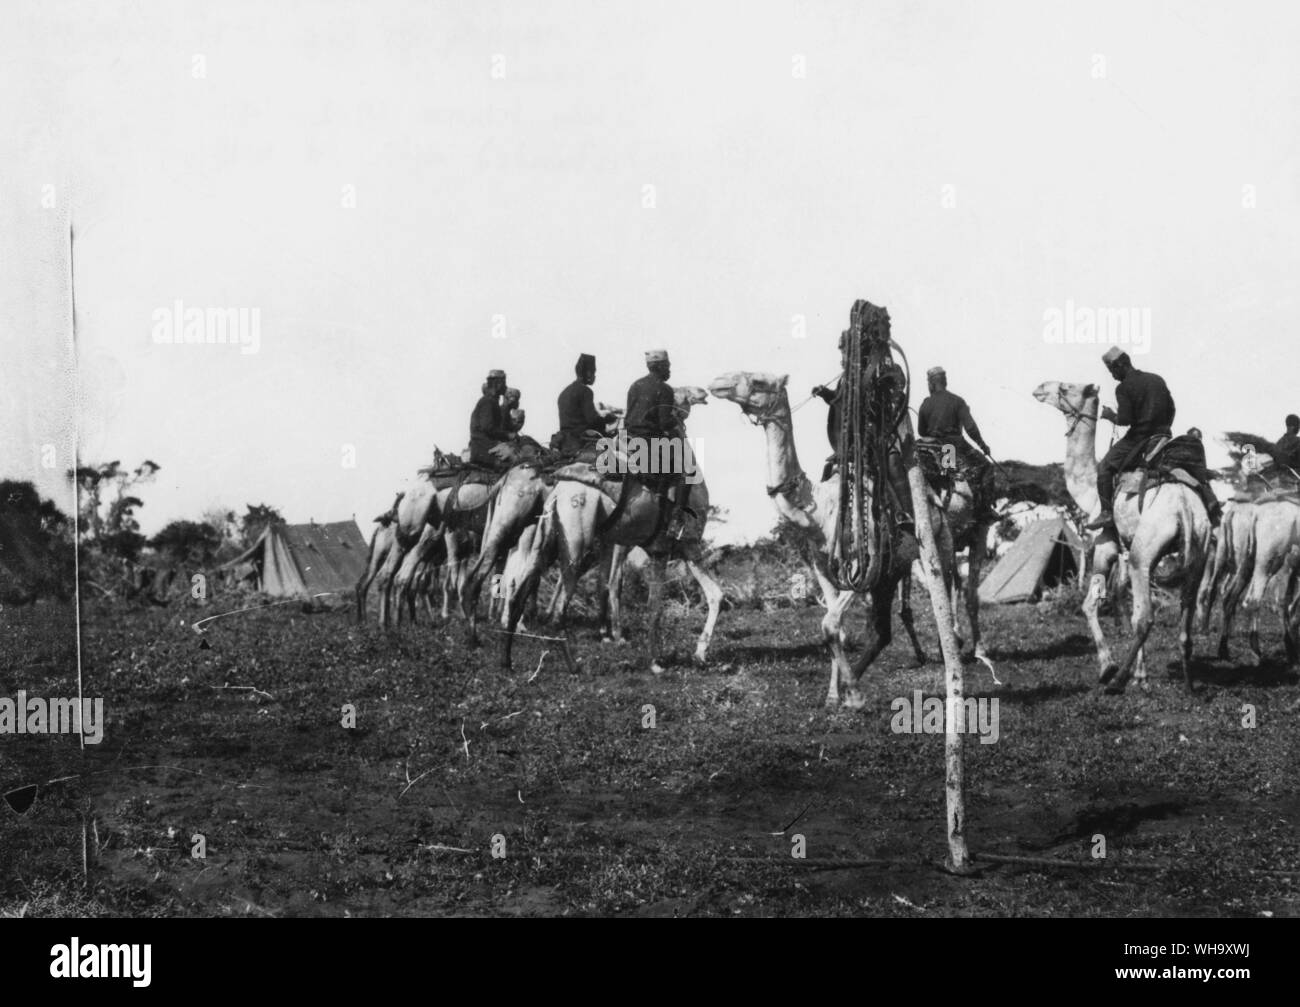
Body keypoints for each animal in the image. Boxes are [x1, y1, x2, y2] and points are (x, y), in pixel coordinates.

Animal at [707, 369, 987, 706]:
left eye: (760, 382)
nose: (718, 382)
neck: (819, 510)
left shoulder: (862, 568)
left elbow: (829, 623)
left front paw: (852, 694)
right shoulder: (824, 569)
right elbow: (834, 629)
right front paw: (834, 694)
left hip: (940, 545)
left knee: (947, 594)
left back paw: (956, 655)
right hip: (892, 570)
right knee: (882, 630)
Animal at [1029, 379, 1211, 691]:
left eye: (1066, 387)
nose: (1040, 387)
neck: (1089, 491)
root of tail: (1184, 507)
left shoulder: (1106, 546)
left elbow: (1090, 604)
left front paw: (1108, 666)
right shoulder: (1134, 552)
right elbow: (1127, 604)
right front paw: (1141, 675)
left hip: (1143, 554)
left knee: (1146, 618)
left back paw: (1116, 681)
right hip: (1196, 552)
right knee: (1182, 617)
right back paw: (1188, 683)